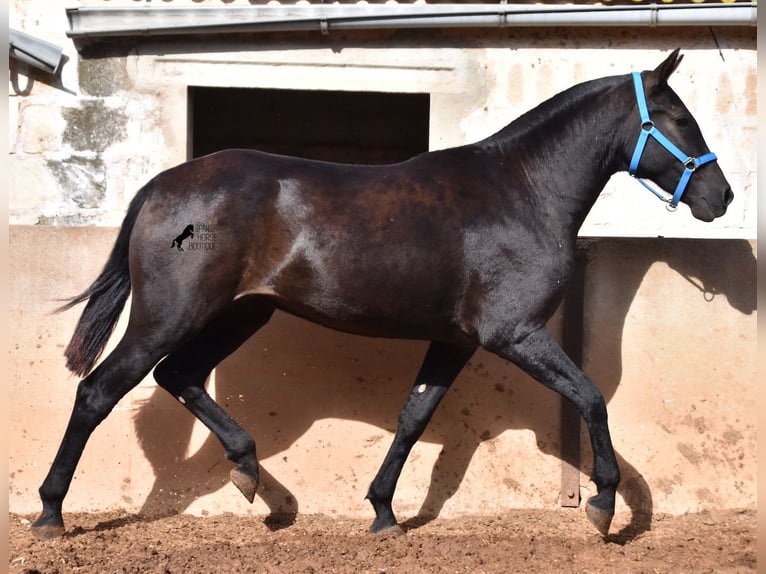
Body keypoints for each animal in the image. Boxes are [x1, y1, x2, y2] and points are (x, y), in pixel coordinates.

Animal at [33, 48, 736, 540]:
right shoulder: (515, 334)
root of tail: (161, 184)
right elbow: (590, 397)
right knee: (99, 390)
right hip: (172, 314)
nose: (721, 196)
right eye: (679, 118)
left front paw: (382, 512)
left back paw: (250, 474)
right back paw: (50, 514)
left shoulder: (456, 341)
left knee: (178, 376)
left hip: (242, 313)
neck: (522, 190)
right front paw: (604, 504)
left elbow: (413, 417)